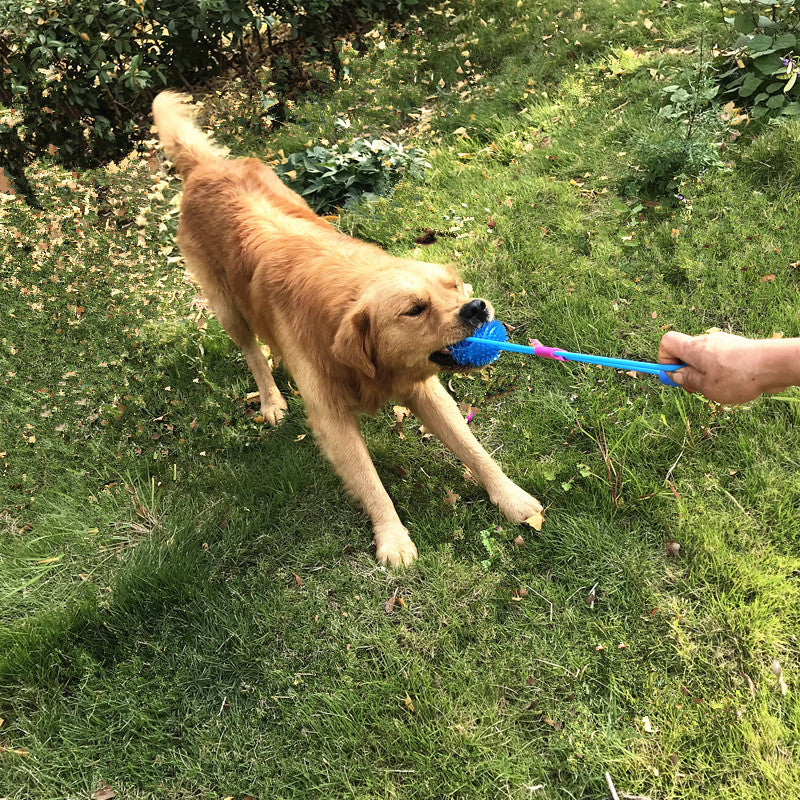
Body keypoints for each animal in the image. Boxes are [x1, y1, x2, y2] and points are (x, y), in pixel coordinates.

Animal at [150, 90, 544, 564]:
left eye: (453, 285)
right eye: (415, 309)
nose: (477, 308)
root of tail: (206, 167)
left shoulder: (424, 390)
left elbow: (472, 447)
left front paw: (512, 498)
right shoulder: (331, 416)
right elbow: (371, 482)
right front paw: (393, 539)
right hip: (227, 308)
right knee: (251, 351)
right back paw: (271, 400)